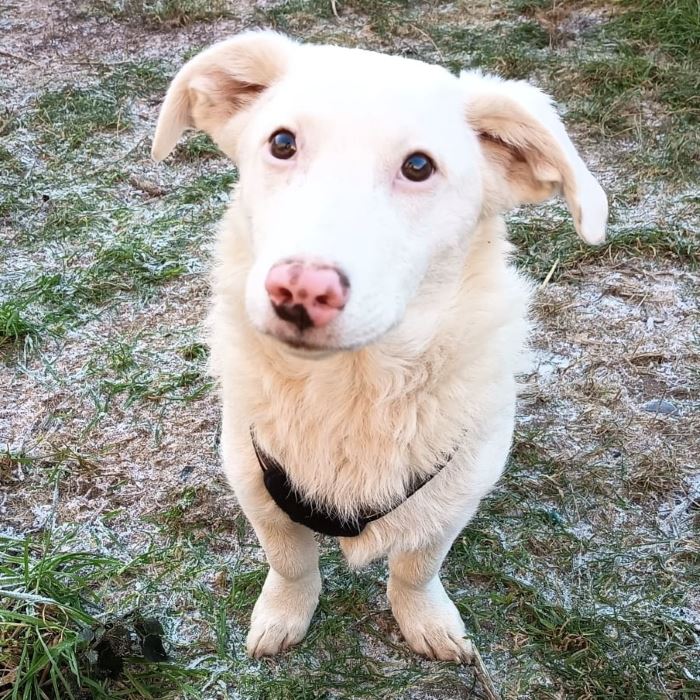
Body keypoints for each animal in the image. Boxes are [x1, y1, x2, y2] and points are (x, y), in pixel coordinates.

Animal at [152, 31, 607, 662]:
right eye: (282, 143)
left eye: (419, 166)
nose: (300, 288)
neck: (349, 391)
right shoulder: (253, 481)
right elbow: (290, 562)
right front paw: (285, 613)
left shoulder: (454, 495)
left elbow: (416, 567)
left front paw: (424, 619)